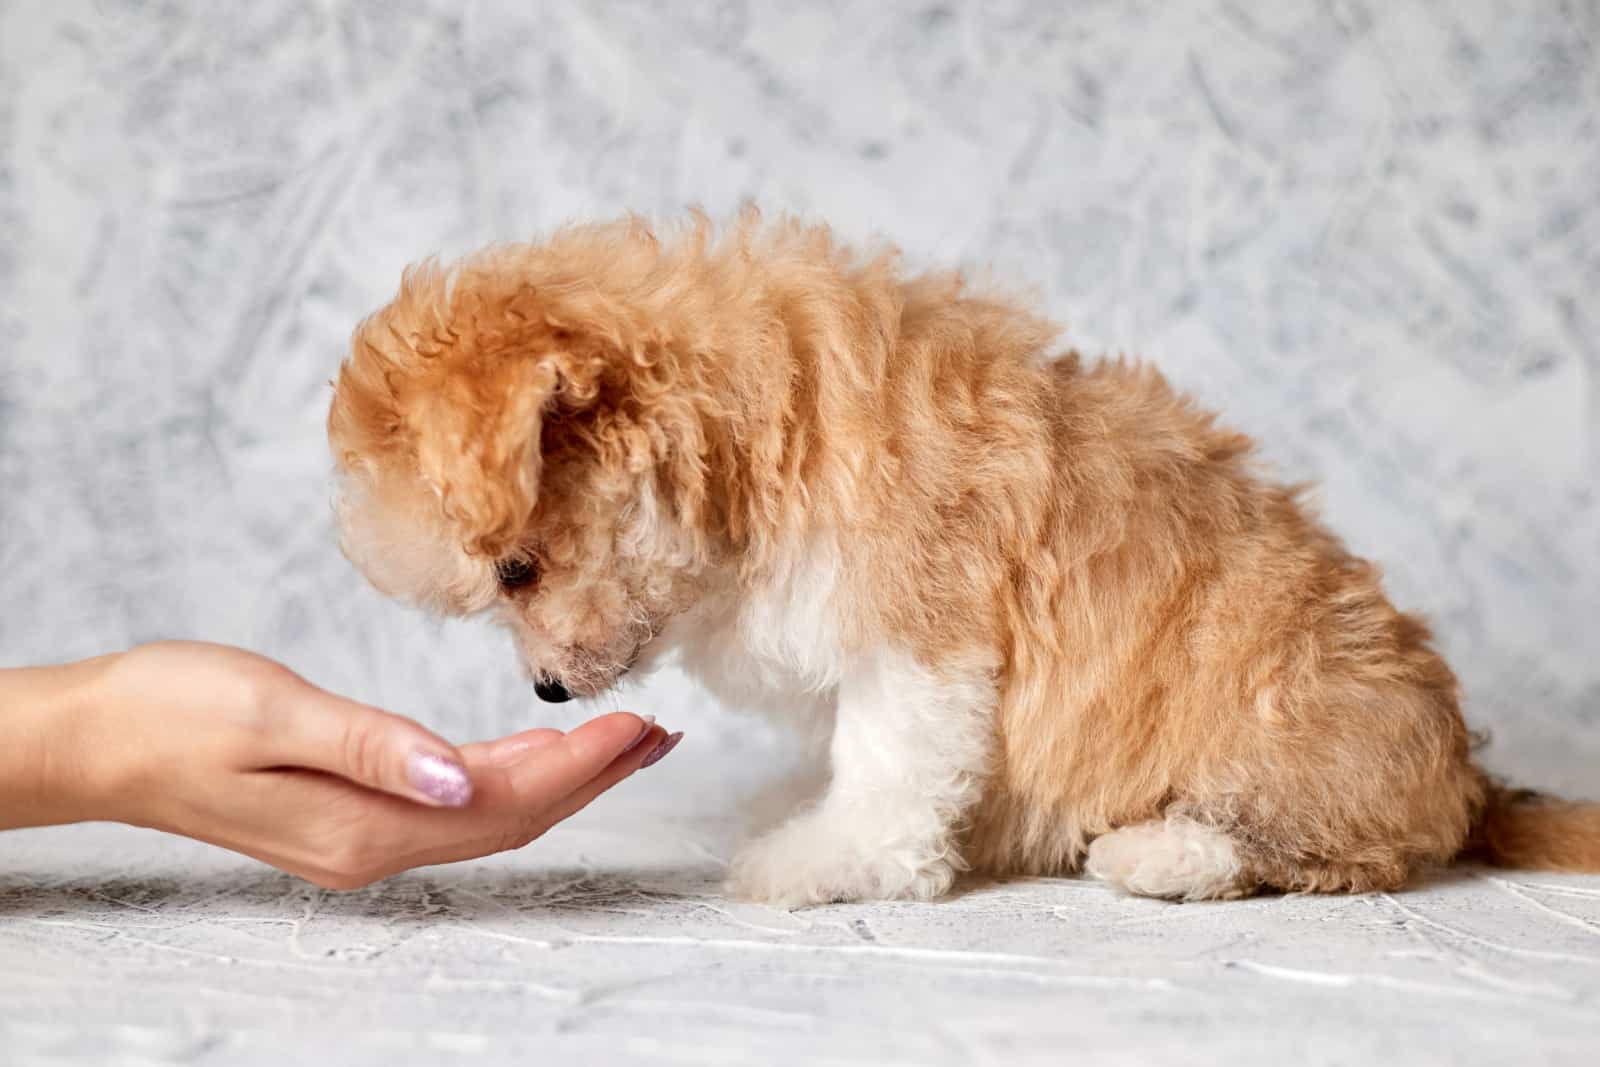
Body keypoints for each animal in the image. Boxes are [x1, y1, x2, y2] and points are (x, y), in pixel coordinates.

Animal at [328, 212, 1600, 908]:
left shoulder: (919, 635)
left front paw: (825, 856)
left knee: (1323, 853)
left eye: (515, 571)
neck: (748, 434)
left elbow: (889, 770)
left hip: (1290, 738)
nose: (545, 689)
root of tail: (1467, 777)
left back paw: (1162, 852)